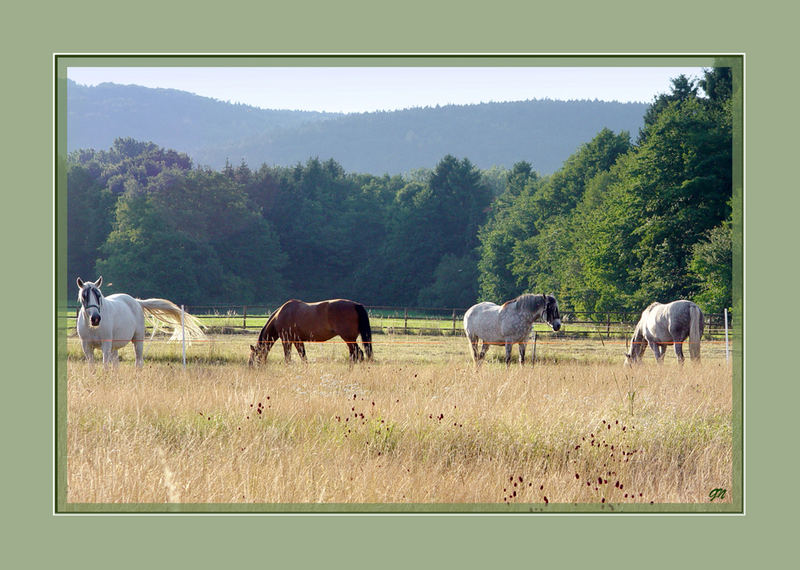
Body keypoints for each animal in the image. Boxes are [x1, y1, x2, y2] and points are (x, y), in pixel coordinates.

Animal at [76, 276, 206, 366]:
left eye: (98, 295)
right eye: (84, 296)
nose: (95, 319)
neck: (92, 328)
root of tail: (137, 302)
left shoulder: (106, 345)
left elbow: (105, 366)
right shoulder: (86, 347)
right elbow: (92, 367)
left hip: (137, 341)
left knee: (138, 362)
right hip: (115, 346)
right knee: (116, 364)